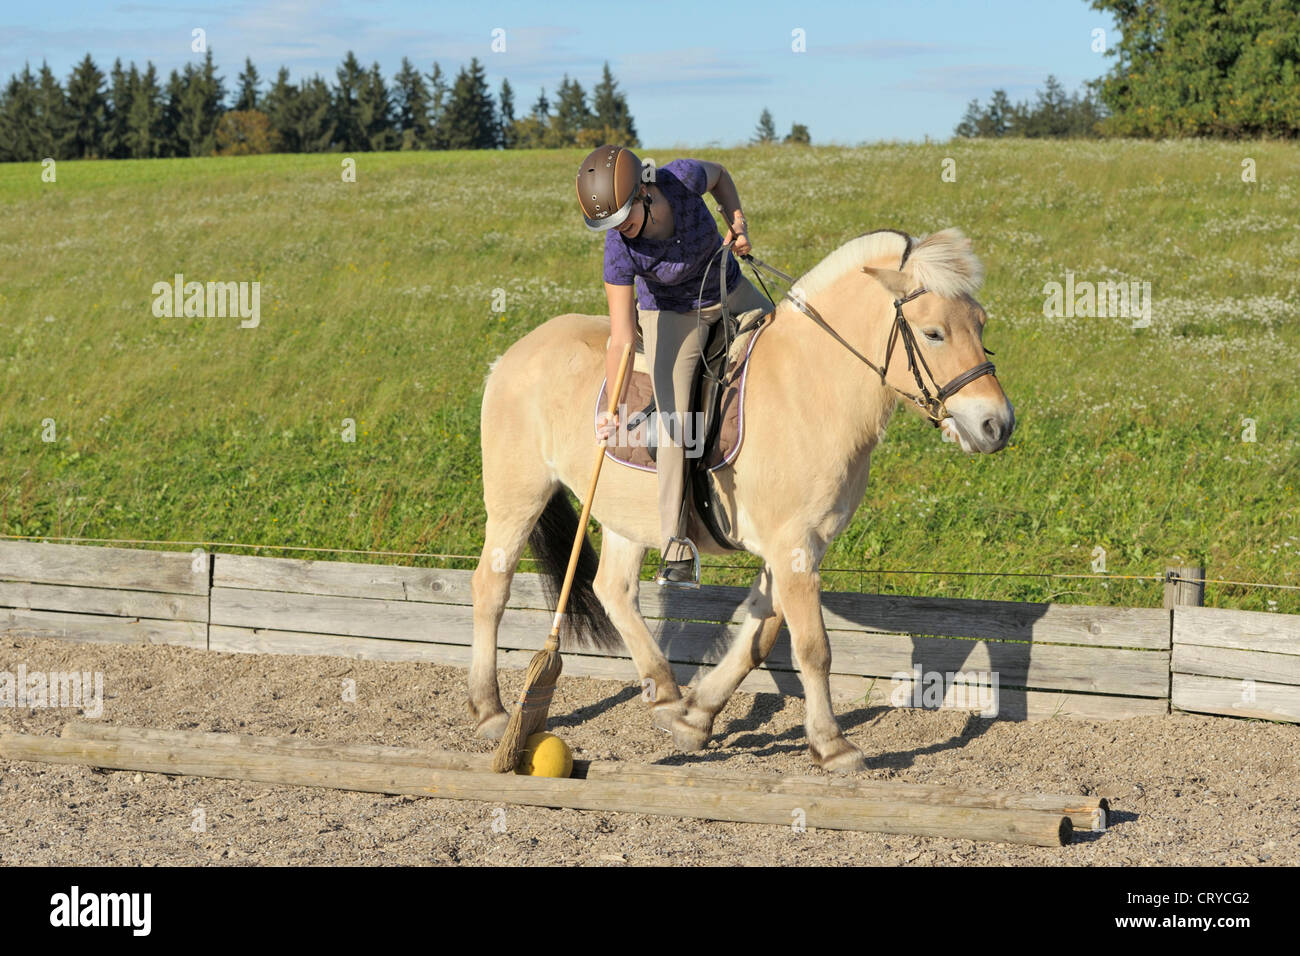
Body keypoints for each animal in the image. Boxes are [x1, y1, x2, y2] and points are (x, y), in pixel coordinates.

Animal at [467, 227, 1013, 775]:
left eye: (981, 323)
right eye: (934, 333)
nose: (997, 425)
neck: (812, 386)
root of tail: (513, 355)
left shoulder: (797, 545)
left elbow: (760, 635)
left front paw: (696, 717)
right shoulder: (793, 546)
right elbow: (812, 647)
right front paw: (832, 744)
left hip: (627, 515)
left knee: (614, 590)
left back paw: (666, 694)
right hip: (518, 496)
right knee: (492, 586)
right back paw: (491, 710)